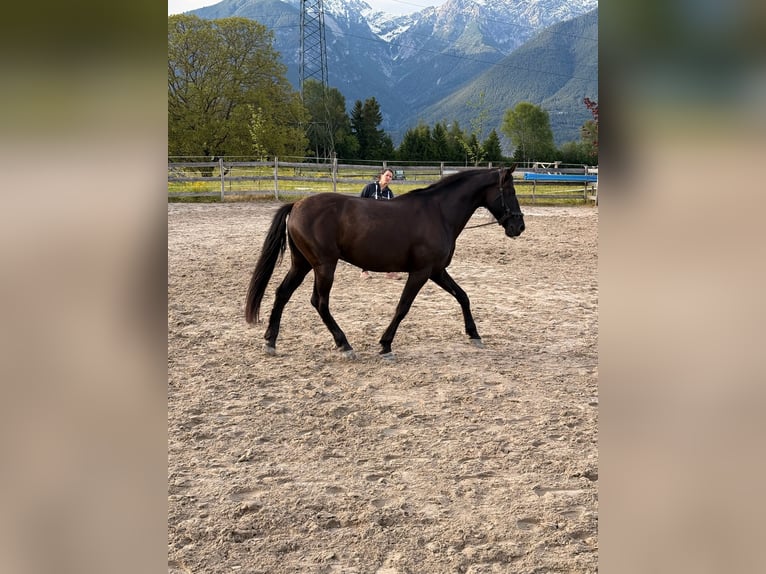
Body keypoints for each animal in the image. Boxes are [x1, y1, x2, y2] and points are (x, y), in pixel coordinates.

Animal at [245, 166, 525, 360]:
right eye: (510, 192)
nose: (519, 226)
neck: (438, 212)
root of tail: (297, 204)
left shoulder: (437, 271)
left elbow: (463, 297)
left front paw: (474, 335)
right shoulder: (421, 272)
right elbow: (403, 307)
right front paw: (385, 344)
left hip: (301, 264)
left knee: (282, 294)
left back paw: (270, 341)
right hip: (324, 266)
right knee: (319, 302)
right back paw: (344, 345)